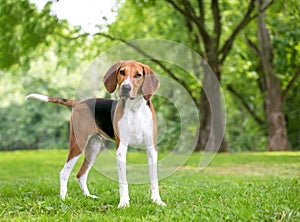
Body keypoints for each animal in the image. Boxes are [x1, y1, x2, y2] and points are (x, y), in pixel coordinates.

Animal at [26, 59, 166, 207]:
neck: (135, 108)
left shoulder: (151, 149)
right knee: (64, 173)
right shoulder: (121, 149)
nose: (126, 88)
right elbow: (123, 181)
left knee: (81, 175)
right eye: (122, 72)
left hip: (93, 148)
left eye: (138, 75)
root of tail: (80, 103)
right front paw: (123, 203)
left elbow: (154, 179)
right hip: (78, 144)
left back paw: (88, 197)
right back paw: (64, 198)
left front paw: (157, 201)